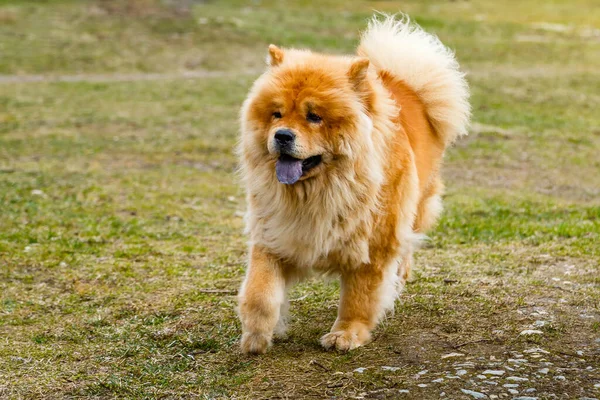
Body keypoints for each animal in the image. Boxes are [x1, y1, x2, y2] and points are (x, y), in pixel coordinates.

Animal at [237, 14, 472, 354]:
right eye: (276, 114)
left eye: (314, 116)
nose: (281, 135)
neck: (318, 193)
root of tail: (404, 83)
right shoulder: (274, 233)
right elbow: (260, 291)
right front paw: (256, 335)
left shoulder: (374, 243)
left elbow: (359, 297)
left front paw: (346, 335)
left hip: (417, 203)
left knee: (409, 241)